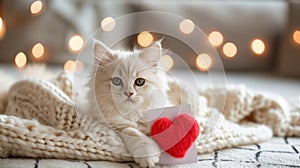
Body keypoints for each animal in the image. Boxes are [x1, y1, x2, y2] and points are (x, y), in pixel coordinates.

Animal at [88, 39, 170, 167]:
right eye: (116, 81)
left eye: (140, 82)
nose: (129, 93)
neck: (133, 113)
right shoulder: (118, 125)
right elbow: (134, 133)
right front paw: (148, 156)